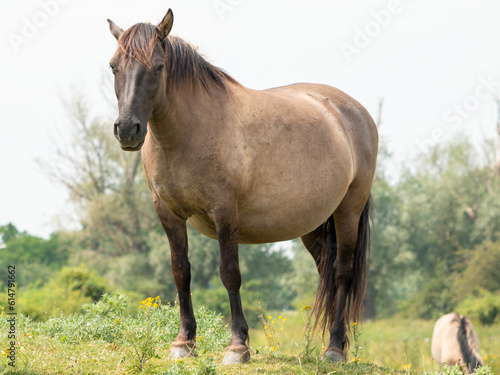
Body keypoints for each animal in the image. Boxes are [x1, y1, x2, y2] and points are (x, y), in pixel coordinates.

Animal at [107, 8, 376, 366]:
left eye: (159, 67)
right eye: (114, 66)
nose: (127, 130)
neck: (190, 131)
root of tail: (354, 111)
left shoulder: (224, 212)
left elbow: (230, 273)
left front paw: (237, 346)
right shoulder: (168, 213)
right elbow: (181, 272)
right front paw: (184, 342)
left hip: (349, 210)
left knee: (343, 272)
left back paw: (334, 348)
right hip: (314, 224)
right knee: (327, 272)